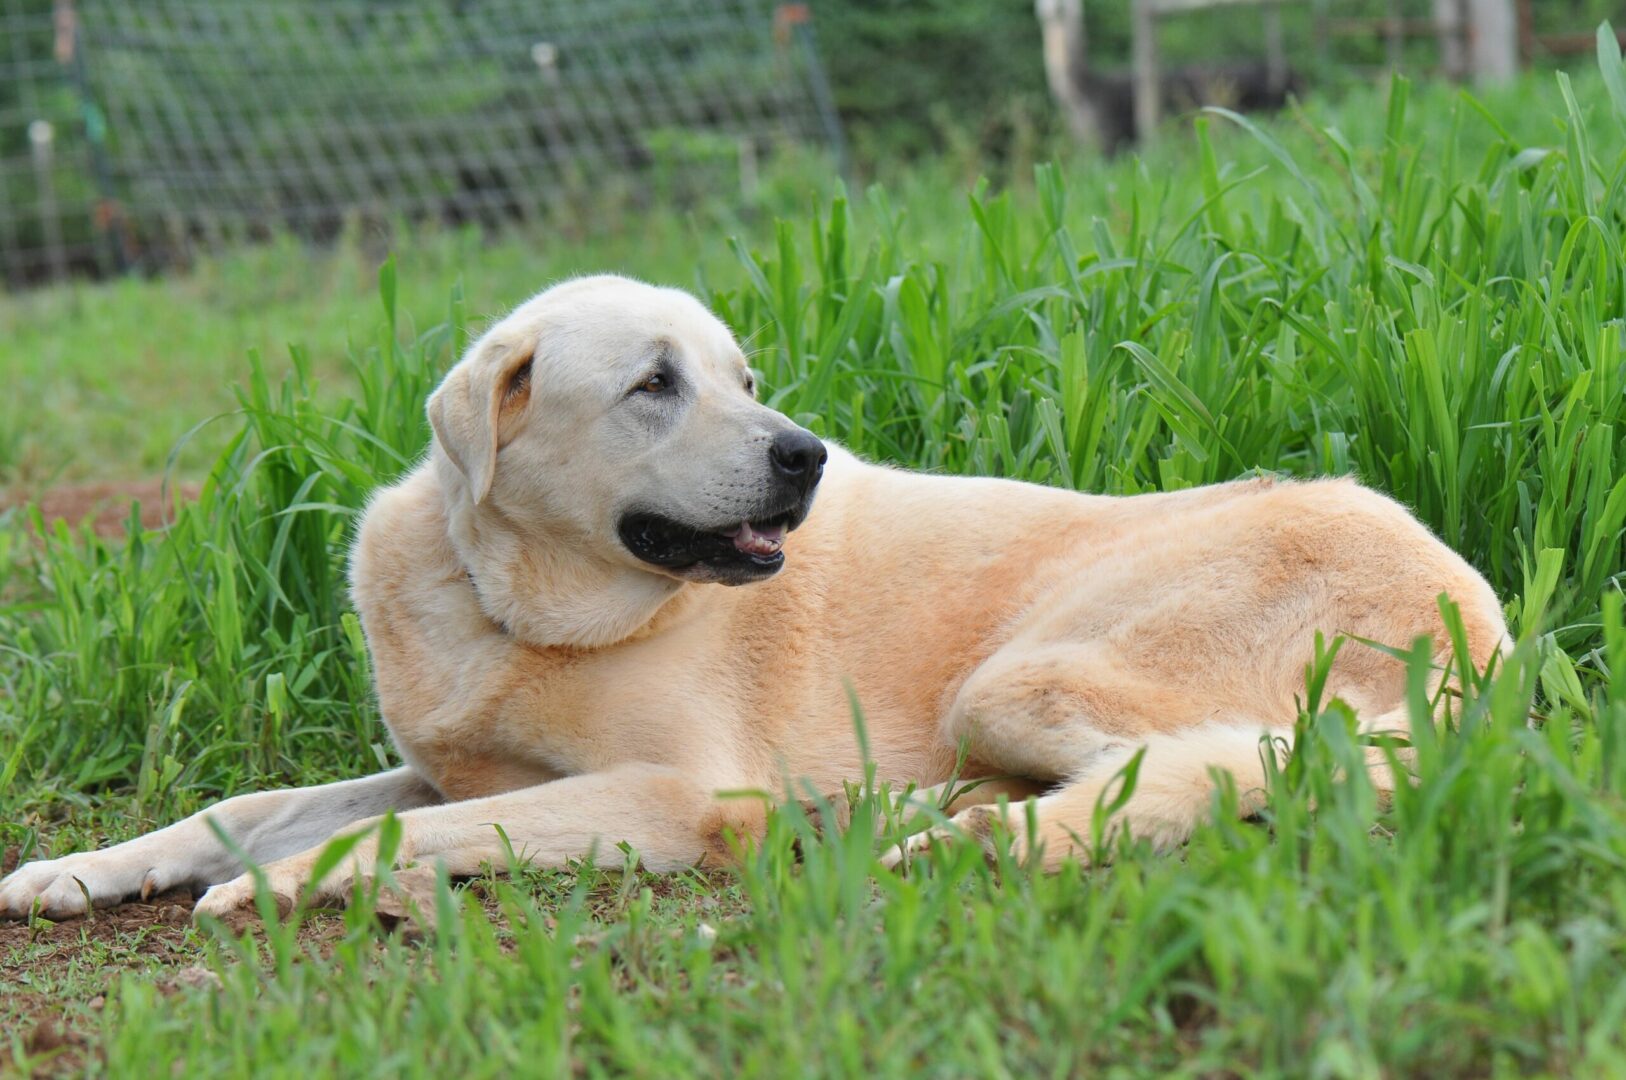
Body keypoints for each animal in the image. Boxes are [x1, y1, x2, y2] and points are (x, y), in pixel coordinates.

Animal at [0, 271, 1502, 917]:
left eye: (745, 377)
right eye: (653, 384)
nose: (806, 456)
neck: (512, 605)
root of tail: (1476, 617)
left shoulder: (667, 794)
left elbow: (388, 834)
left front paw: (285, 887)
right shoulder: (449, 769)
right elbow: (251, 805)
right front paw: (78, 872)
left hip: (1021, 675)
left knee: (1226, 768)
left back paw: (948, 836)